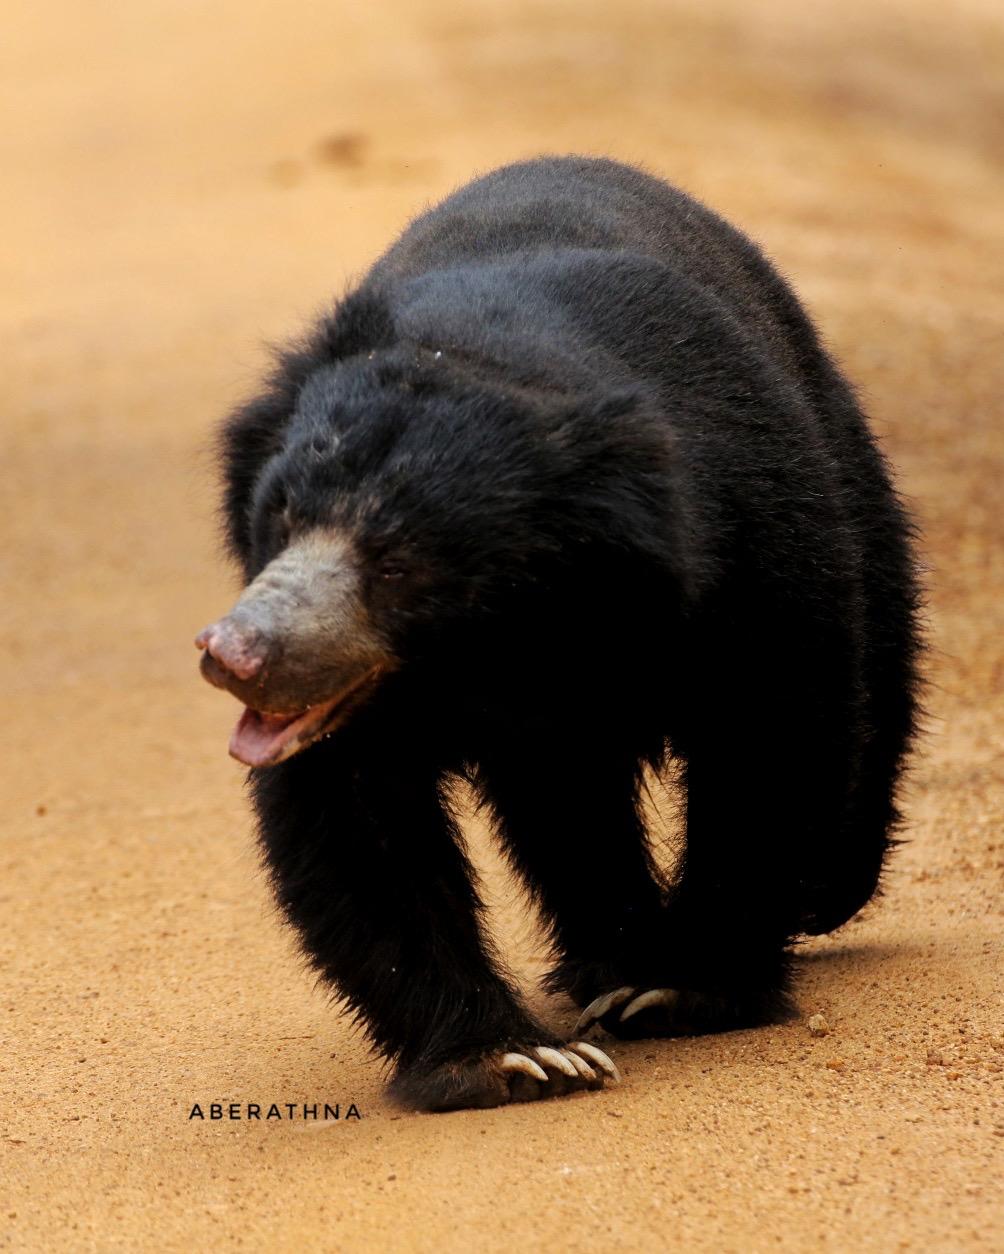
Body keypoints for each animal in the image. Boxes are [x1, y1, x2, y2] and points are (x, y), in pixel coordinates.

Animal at [196, 155, 922, 1112]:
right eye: (280, 514)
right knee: (567, 808)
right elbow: (350, 810)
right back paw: (606, 959)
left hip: (846, 460)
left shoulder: (746, 532)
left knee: (881, 652)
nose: (235, 654)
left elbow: (769, 730)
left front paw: (682, 989)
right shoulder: (359, 699)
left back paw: (815, 894)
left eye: (396, 563)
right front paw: (514, 1058)